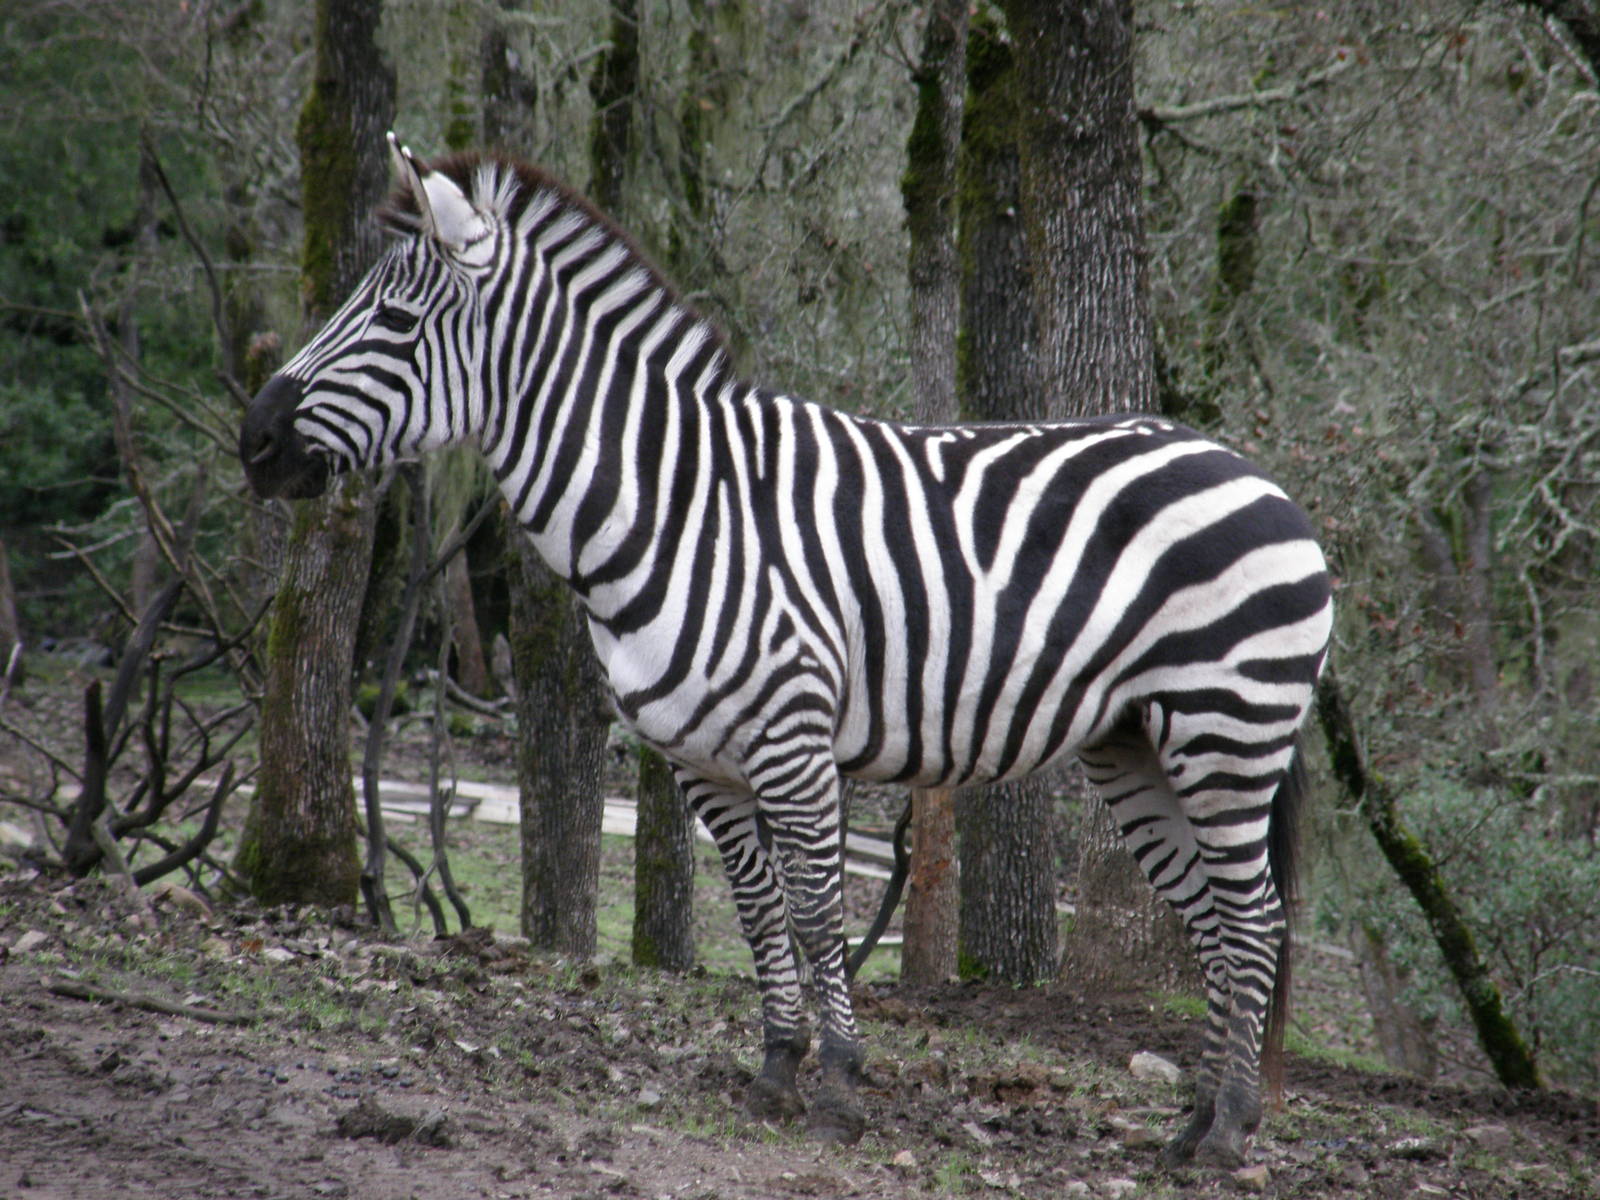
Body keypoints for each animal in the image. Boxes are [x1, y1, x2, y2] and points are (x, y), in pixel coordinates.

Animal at [240, 137, 1332, 1167]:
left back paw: (1231, 1129)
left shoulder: (794, 743)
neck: (674, 510)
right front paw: (774, 1071)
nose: (254, 442)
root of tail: (1255, 475)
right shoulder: (701, 763)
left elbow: (814, 914)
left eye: (392, 322)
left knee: (1253, 920)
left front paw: (840, 1084)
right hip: (1135, 743)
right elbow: (760, 911)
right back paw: (1193, 1124)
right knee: (1209, 921)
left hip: (1225, 728)